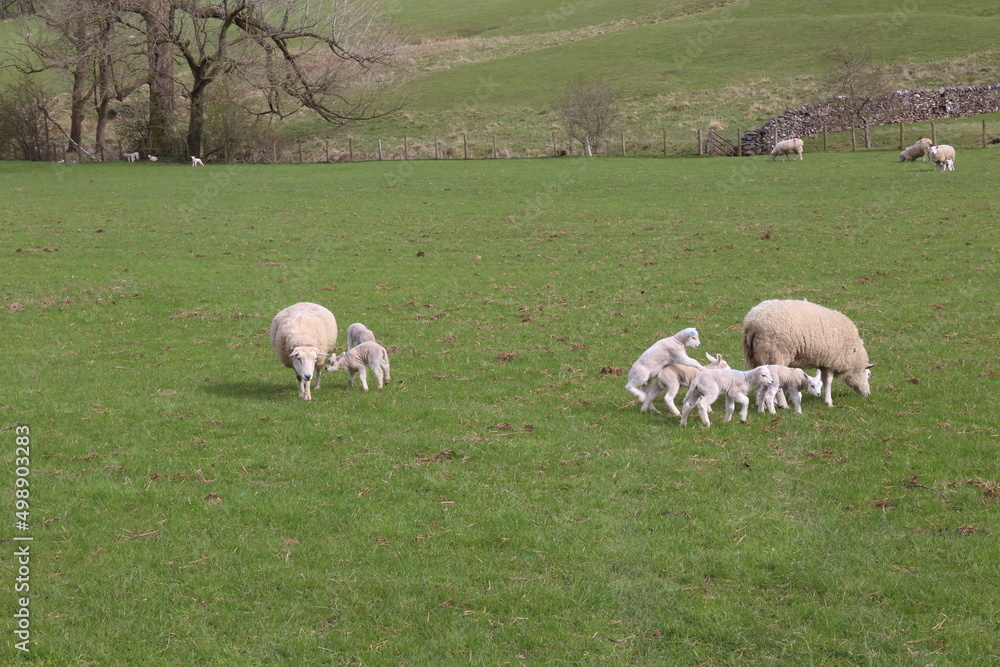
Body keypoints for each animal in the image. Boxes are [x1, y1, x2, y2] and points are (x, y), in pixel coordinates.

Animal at [742, 299, 874, 407]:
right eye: (868, 374)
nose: (868, 394)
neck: (854, 353)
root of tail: (752, 322)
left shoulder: (823, 362)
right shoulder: (830, 361)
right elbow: (828, 382)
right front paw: (828, 402)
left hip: (754, 356)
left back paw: (762, 403)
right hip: (774, 353)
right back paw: (782, 404)